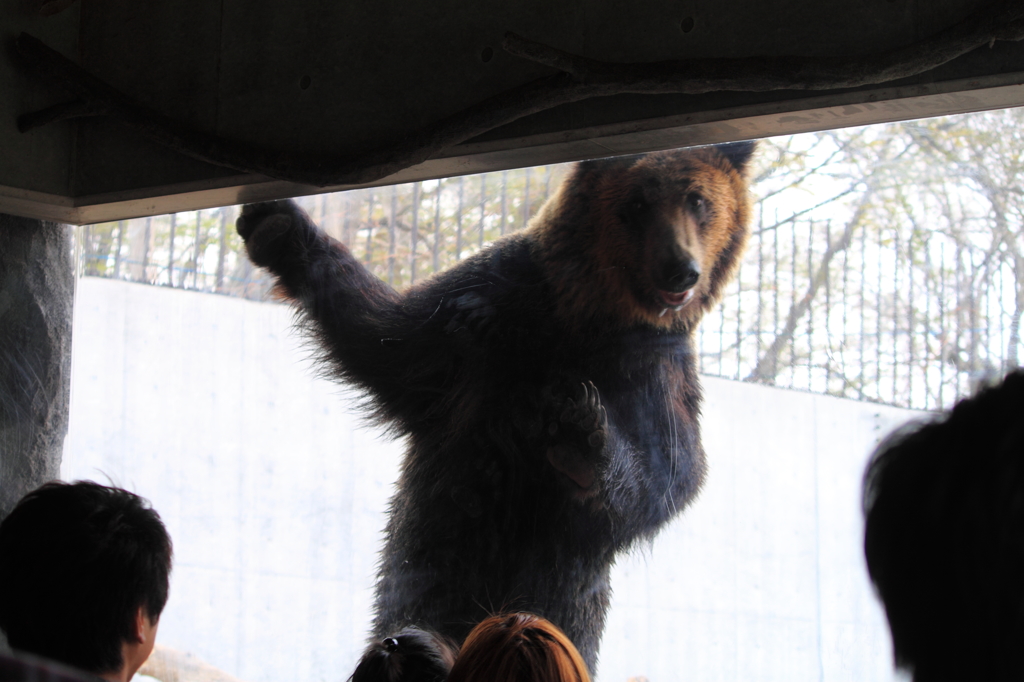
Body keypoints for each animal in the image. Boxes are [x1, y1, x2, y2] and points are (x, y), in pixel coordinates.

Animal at [235, 140, 757, 671]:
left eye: (698, 200)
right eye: (637, 203)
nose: (680, 269)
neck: (586, 320)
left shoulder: (659, 374)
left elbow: (671, 474)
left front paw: (581, 433)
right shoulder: (489, 302)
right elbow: (385, 338)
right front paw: (277, 225)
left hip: (561, 601)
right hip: (430, 565)